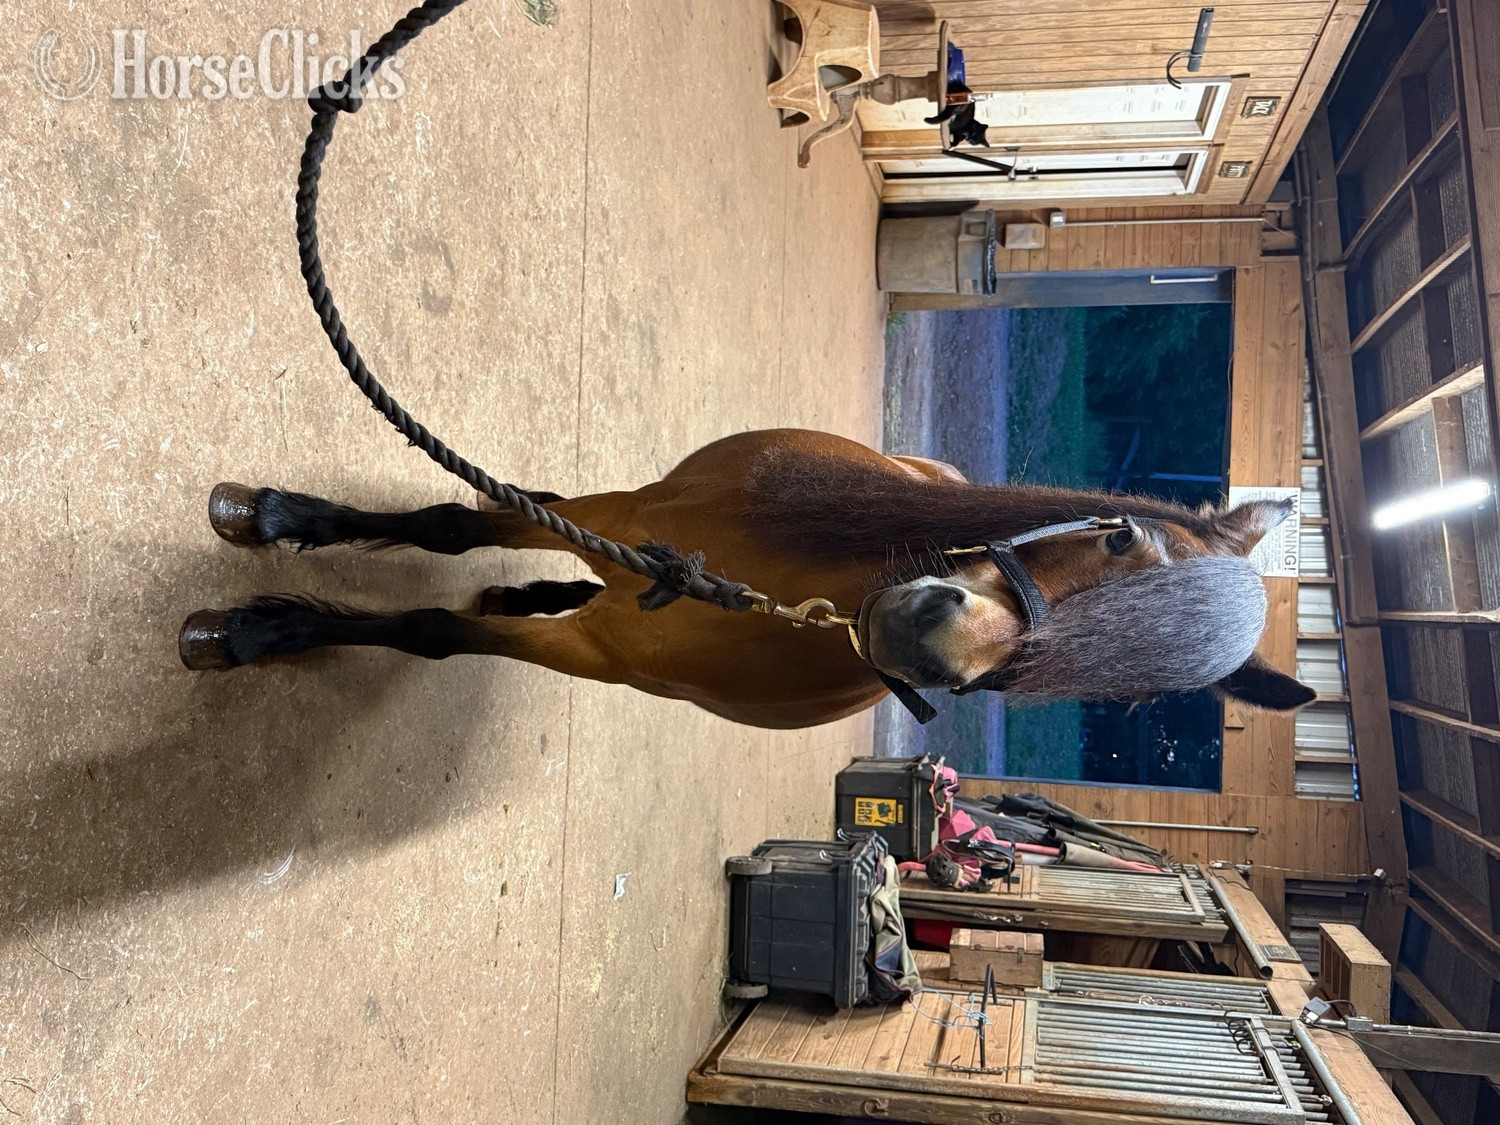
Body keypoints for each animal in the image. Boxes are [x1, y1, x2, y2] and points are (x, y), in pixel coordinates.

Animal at [179, 427, 1315, 729]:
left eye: (1122, 692)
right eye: (1120, 539)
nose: (930, 638)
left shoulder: (595, 652)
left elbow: (435, 630)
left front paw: (262, 632)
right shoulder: (610, 523)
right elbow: (454, 525)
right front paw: (277, 521)